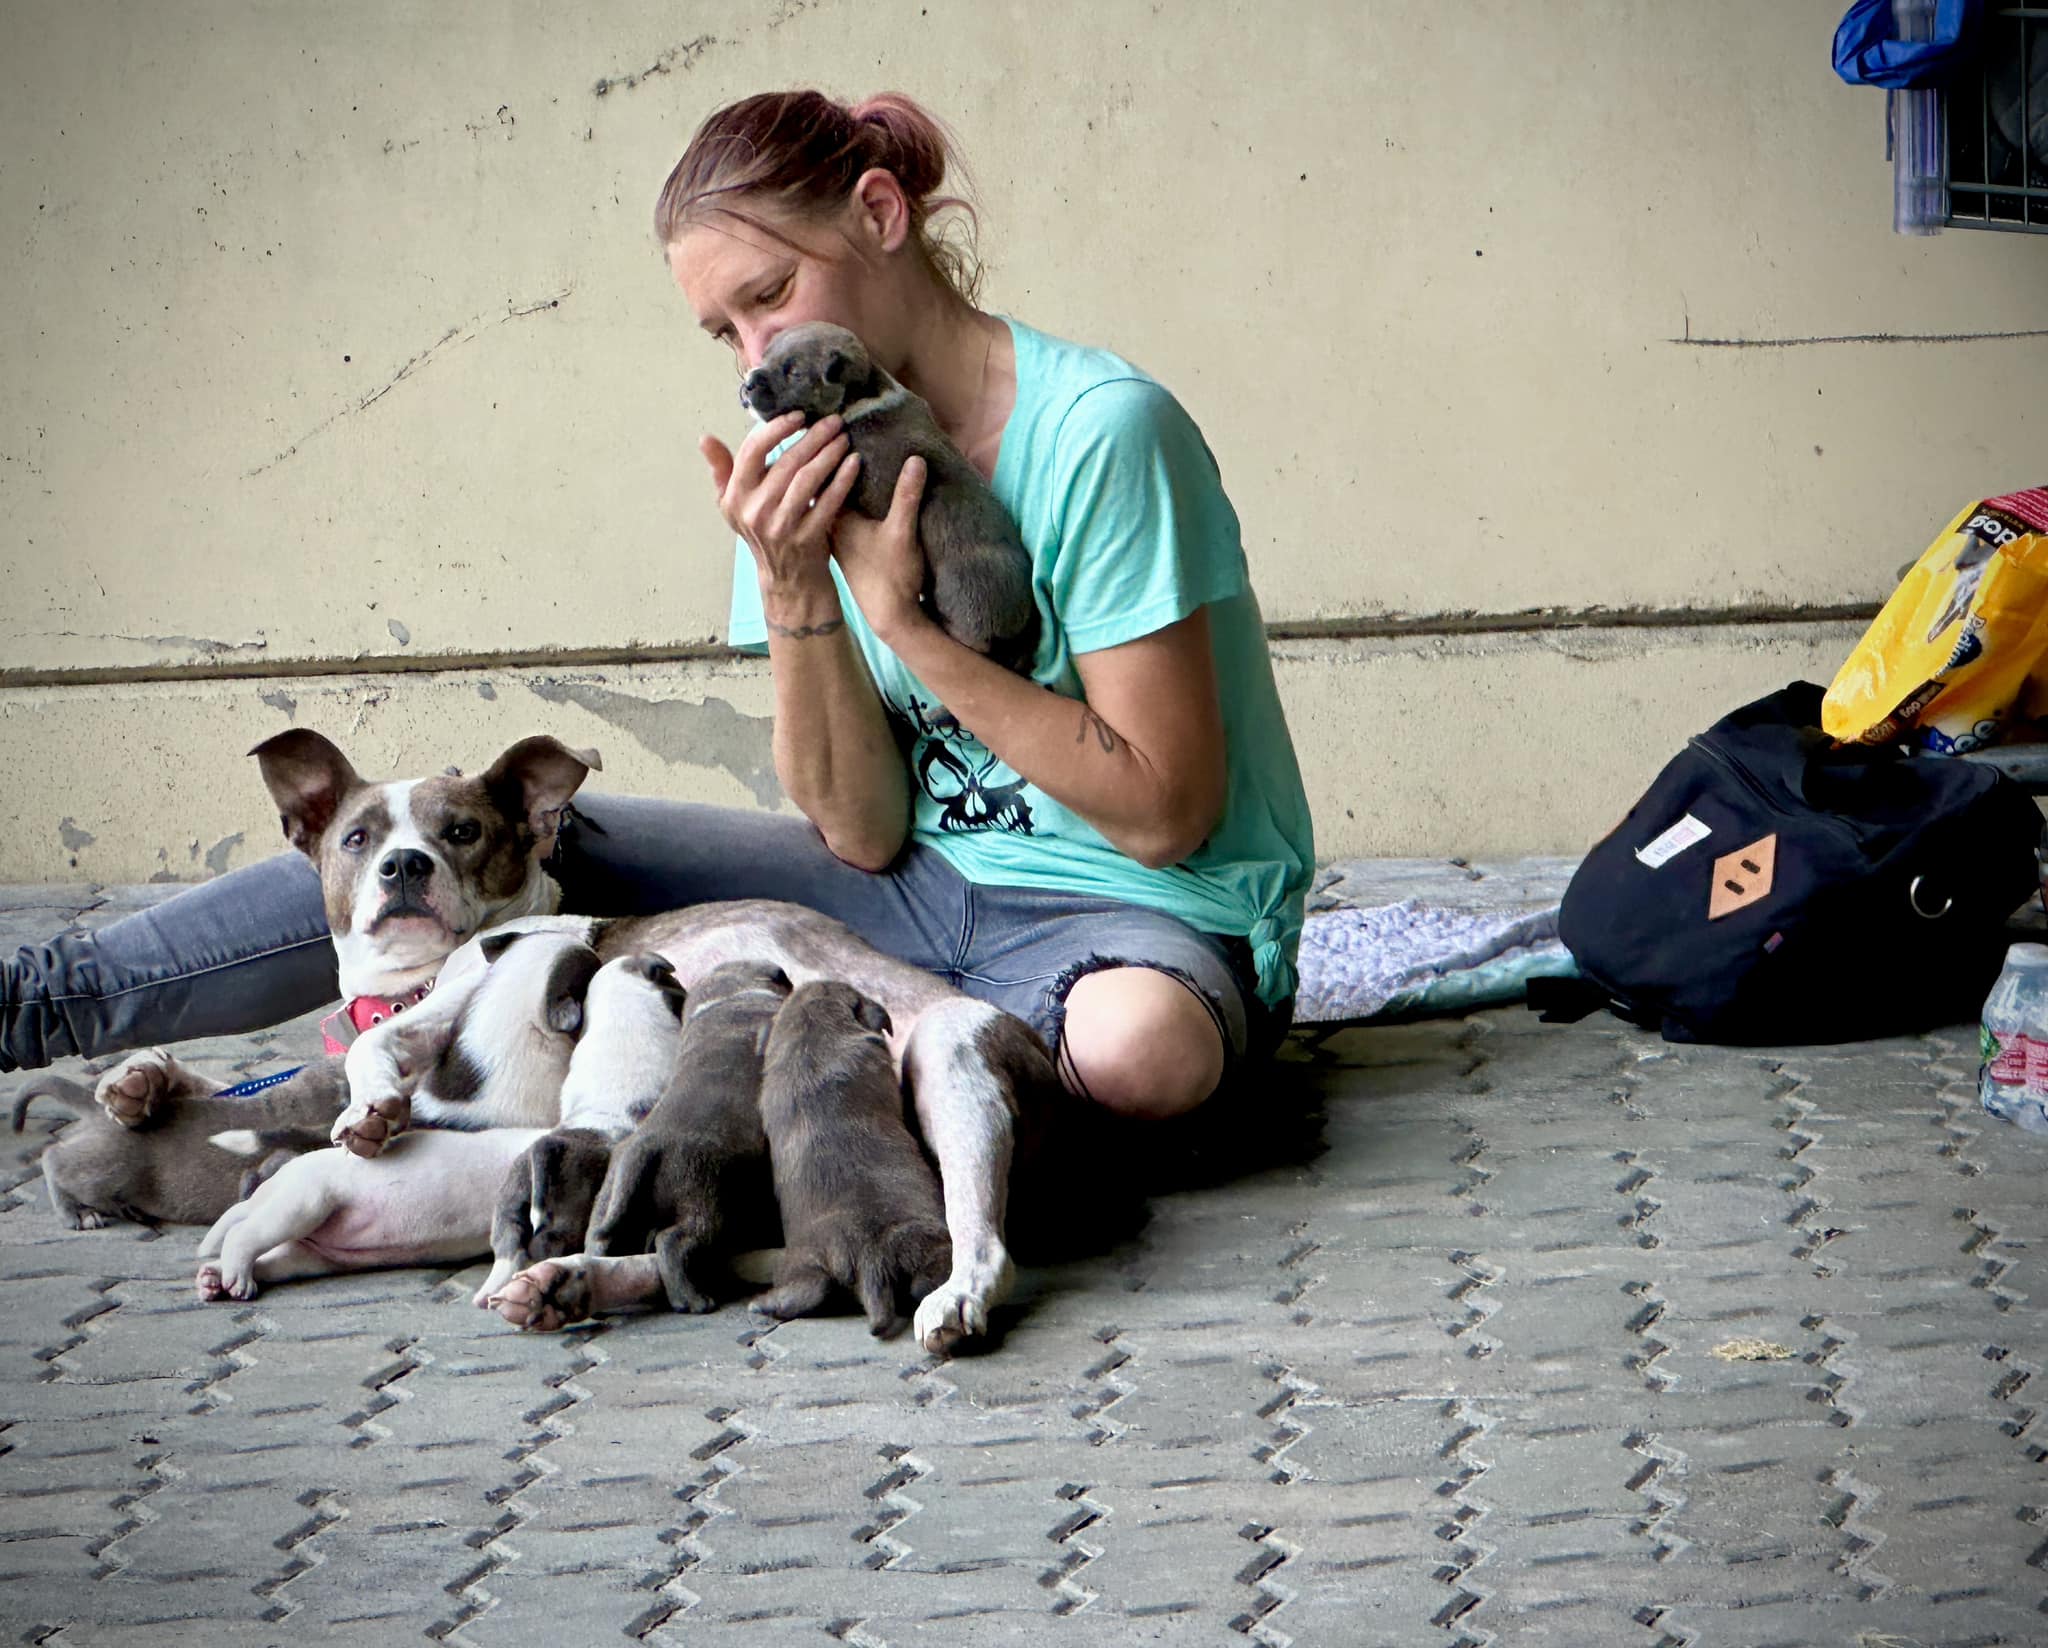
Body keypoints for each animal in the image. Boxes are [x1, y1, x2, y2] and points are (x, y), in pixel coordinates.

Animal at [753, 978, 950, 1334]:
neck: (813, 1033)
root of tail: (869, 1257)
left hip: (806, 1264)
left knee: (810, 1288)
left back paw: (765, 1305)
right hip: (925, 1246)